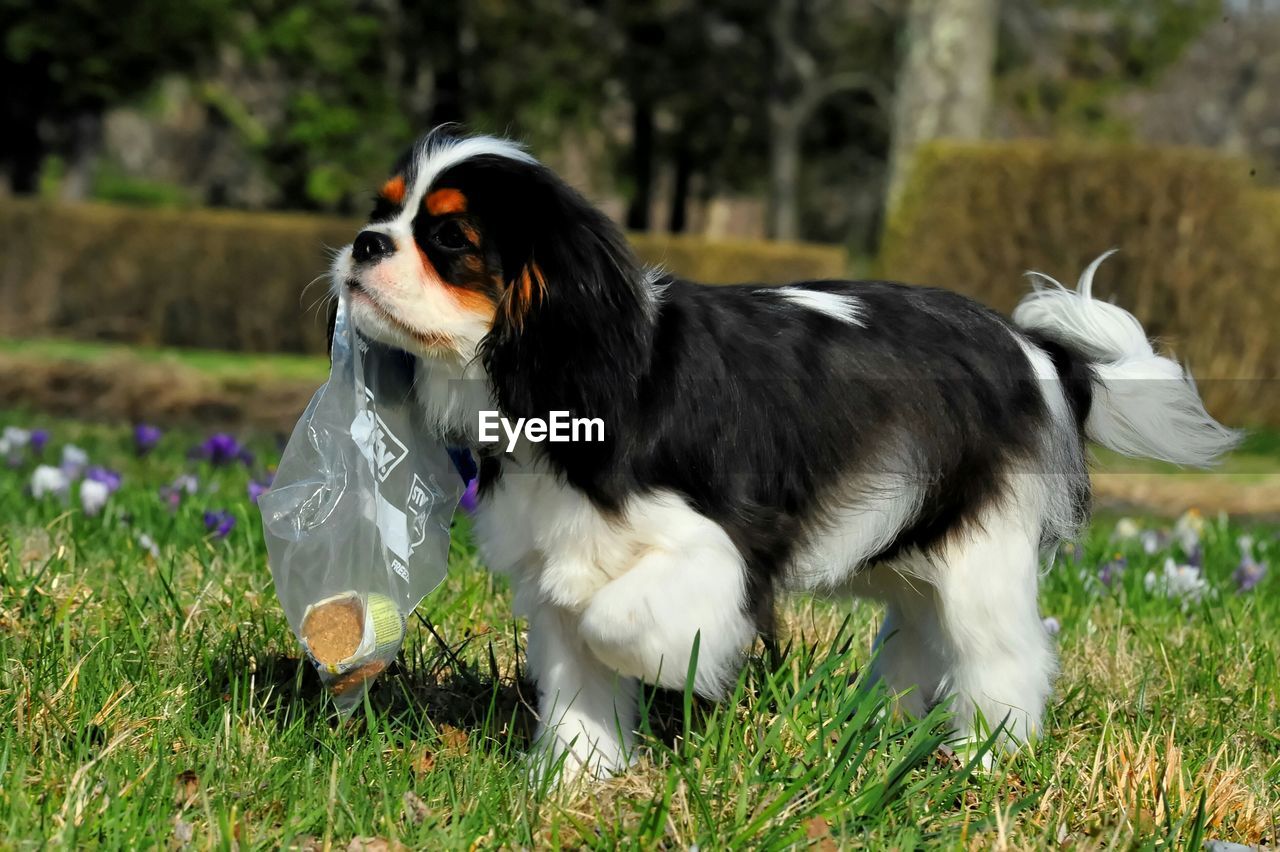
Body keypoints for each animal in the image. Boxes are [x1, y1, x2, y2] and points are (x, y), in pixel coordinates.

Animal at [330, 127, 1239, 777]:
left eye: (449, 238)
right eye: (382, 212)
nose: (366, 242)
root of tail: (1036, 349)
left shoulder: (718, 549)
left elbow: (612, 617)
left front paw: (683, 670)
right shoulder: (557, 549)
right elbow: (576, 679)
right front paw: (575, 786)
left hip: (982, 554)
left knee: (1003, 656)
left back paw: (987, 760)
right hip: (912, 549)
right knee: (917, 635)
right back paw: (883, 726)